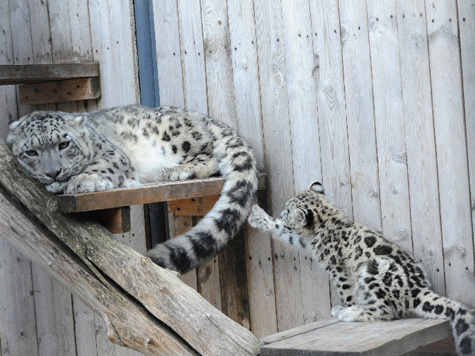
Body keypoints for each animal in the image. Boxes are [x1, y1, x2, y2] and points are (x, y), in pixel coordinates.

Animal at [7, 104, 258, 274]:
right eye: (31, 152)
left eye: (64, 144)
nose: (53, 172)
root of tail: (200, 115)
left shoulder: (113, 154)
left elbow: (102, 166)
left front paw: (83, 180)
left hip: (179, 139)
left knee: (210, 156)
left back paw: (175, 171)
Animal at [249, 182, 475, 354]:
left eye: (288, 210)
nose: (281, 211)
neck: (326, 224)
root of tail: (419, 290)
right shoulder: (304, 240)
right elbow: (284, 232)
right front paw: (258, 217)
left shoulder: (337, 268)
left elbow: (346, 290)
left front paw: (345, 306)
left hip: (376, 269)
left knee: (387, 311)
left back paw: (352, 312)